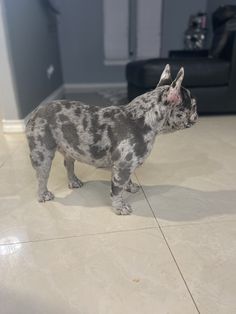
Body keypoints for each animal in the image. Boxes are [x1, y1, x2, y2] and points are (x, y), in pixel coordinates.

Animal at [26, 65, 197, 215]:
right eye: (193, 105)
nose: (196, 114)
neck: (142, 118)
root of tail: (35, 112)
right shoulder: (122, 168)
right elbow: (116, 190)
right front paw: (119, 207)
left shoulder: (128, 167)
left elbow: (127, 181)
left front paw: (131, 187)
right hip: (42, 154)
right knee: (41, 176)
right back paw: (43, 195)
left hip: (69, 148)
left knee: (68, 164)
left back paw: (74, 182)